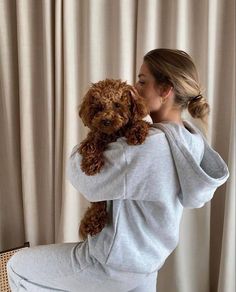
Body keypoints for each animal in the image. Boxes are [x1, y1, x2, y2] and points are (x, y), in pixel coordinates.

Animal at [77, 78, 151, 241]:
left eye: (117, 105)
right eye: (98, 107)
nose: (106, 121)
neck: (113, 133)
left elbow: (140, 122)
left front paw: (136, 133)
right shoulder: (95, 135)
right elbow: (92, 143)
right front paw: (91, 164)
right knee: (98, 203)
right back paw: (92, 222)